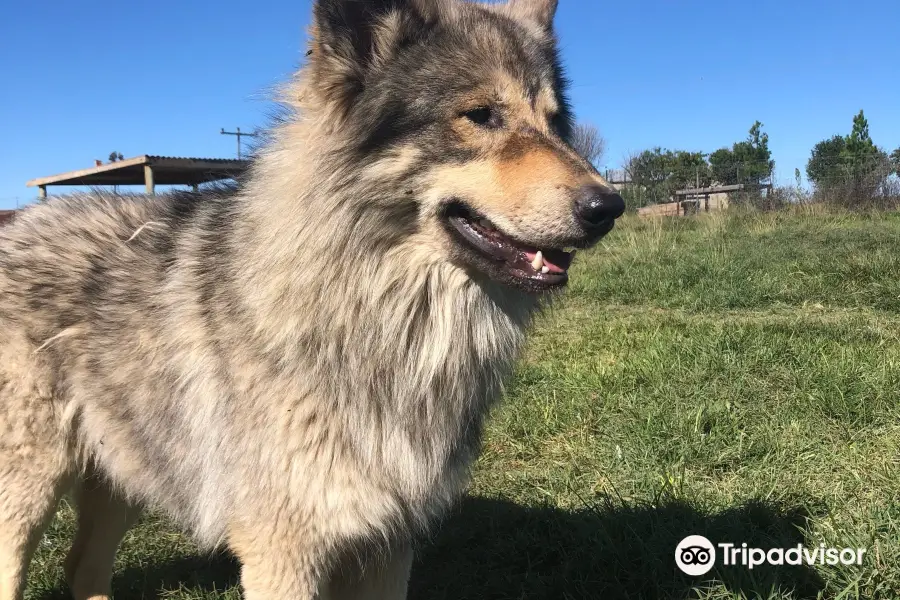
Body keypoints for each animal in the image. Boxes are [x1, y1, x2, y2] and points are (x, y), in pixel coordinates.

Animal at [0, 1, 620, 600]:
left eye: (555, 122)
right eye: (482, 115)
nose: (608, 207)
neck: (381, 314)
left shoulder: (387, 547)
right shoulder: (283, 552)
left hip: (124, 470)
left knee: (84, 568)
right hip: (30, 491)